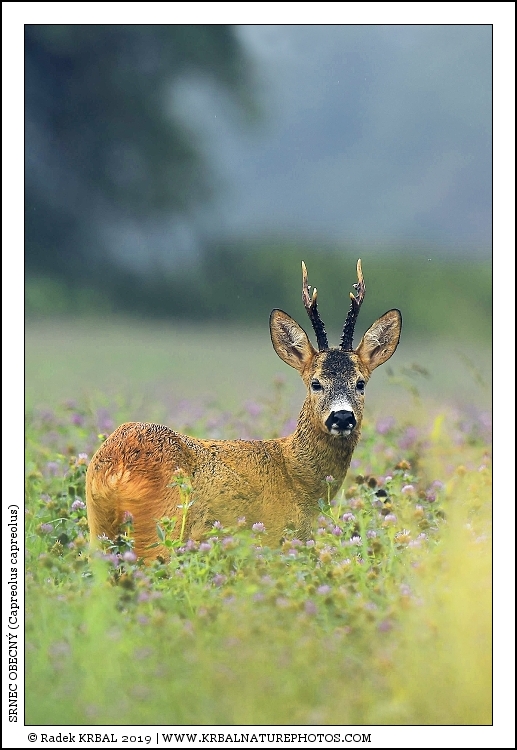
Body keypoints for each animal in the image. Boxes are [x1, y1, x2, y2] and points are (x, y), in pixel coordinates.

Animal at [85, 260, 401, 562]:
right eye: (316, 383)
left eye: (360, 383)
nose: (342, 416)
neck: (297, 475)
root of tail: (116, 467)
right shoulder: (279, 535)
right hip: (162, 528)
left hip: (100, 530)